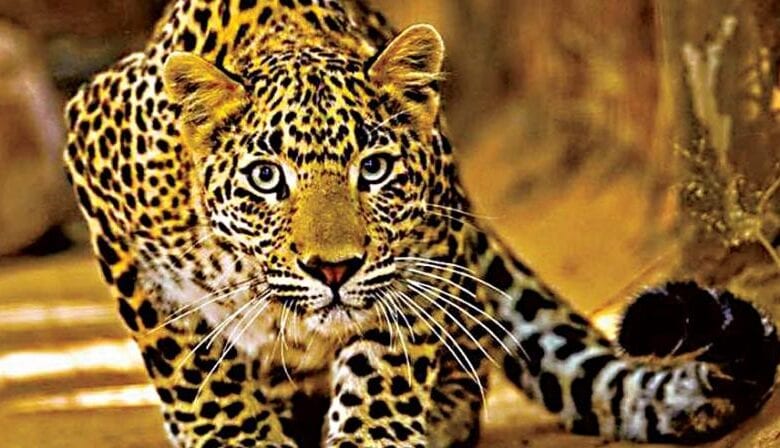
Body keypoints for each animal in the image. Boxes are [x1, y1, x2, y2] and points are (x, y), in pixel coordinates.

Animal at [63, 0, 780, 447]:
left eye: (374, 169)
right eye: (267, 177)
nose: (333, 270)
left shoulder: (423, 255)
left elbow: (384, 364)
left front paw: (372, 432)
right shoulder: (96, 164)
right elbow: (186, 358)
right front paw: (230, 433)